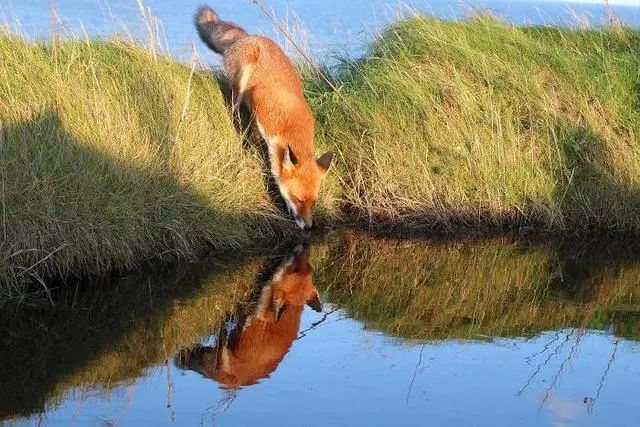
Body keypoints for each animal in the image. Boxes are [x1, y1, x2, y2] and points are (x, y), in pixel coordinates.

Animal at [195, 5, 336, 231]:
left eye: (314, 203)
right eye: (298, 200)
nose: (308, 227)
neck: (290, 126)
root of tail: (249, 36)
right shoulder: (259, 103)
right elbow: (254, 138)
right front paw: (246, 150)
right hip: (242, 79)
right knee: (234, 106)